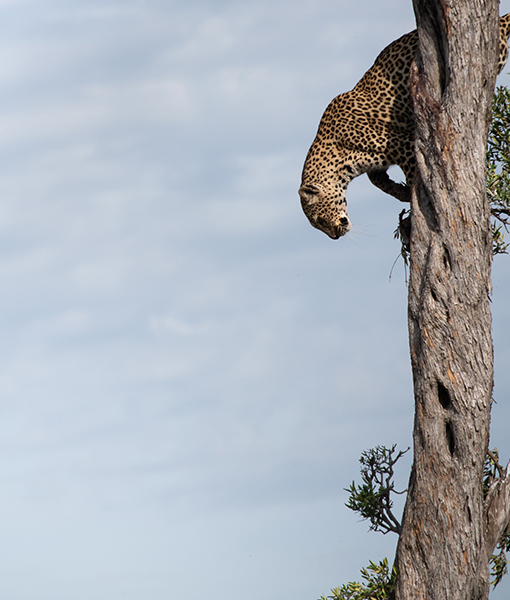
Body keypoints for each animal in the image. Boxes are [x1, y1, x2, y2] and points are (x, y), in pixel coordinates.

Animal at [298, 13, 510, 239]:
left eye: (319, 220)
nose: (336, 236)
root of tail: (500, 20)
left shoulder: (405, 143)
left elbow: (412, 173)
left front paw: (414, 200)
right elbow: (377, 180)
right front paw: (400, 193)